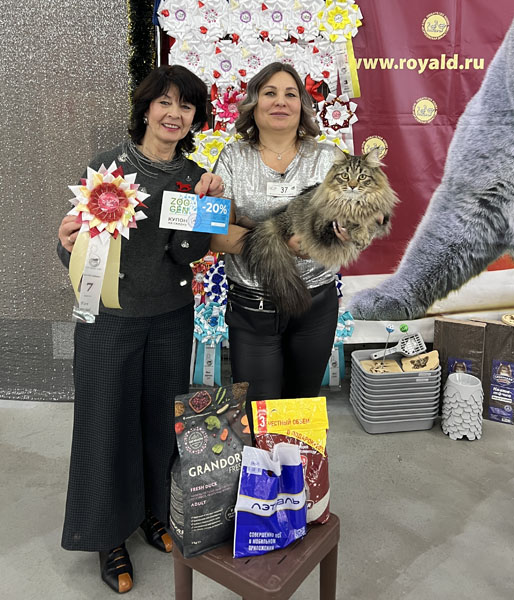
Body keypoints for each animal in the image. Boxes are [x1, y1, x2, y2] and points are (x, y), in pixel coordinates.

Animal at [241, 149, 398, 316]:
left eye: (362, 177)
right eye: (345, 176)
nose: (352, 186)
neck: (354, 205)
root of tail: (284, 215)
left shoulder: (382, 217)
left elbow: (374, 222)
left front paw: (365, 234)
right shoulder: (324, 224)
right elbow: (348, 221)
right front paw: (360, 234)